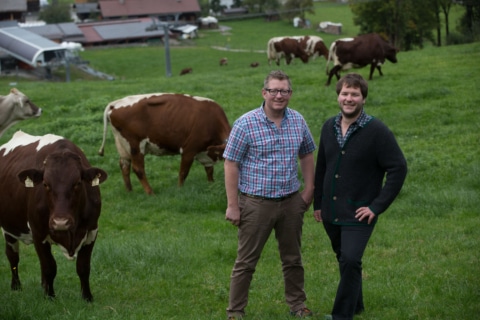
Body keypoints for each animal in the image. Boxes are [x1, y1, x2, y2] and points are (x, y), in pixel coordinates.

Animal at [0, 129, 107, 300]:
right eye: (45, 184)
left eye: (77, 183)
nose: (60, 222)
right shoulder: (38, 233)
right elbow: (49, 267)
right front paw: (50, 297)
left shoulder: (92, 231)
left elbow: (83, 267)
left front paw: (87, 297)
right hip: (8, 228)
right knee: (13, 256)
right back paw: (16, 286)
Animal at [97, 91, 231, 194]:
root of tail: (116, 103)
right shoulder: (189, 150)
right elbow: (183, 172)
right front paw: (180, 189)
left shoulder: (205, 152)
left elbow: (209, 170)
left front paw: (211, 184)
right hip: (135, 145)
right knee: (138, 168)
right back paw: (150, 192)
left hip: (123, 147)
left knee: (124, 166)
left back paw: (130, 191)